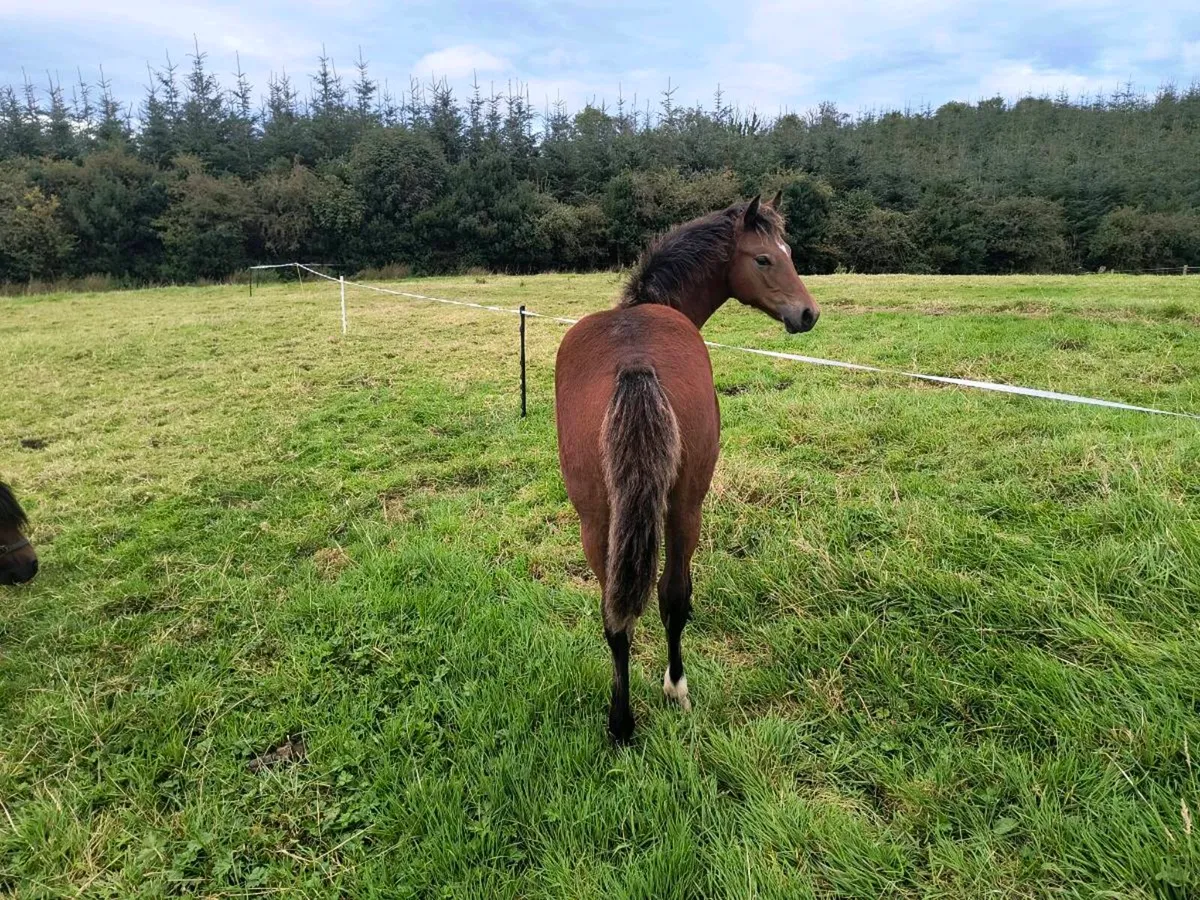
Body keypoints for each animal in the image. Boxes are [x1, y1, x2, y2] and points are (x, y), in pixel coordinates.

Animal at [554, 193, 820, 744]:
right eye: (764, 258)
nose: (808, 313)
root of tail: (634, 363)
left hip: (597, 521)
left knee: (615, 618)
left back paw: (621, 725)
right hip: (686, 509)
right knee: (672, 598)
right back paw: (675, 688)